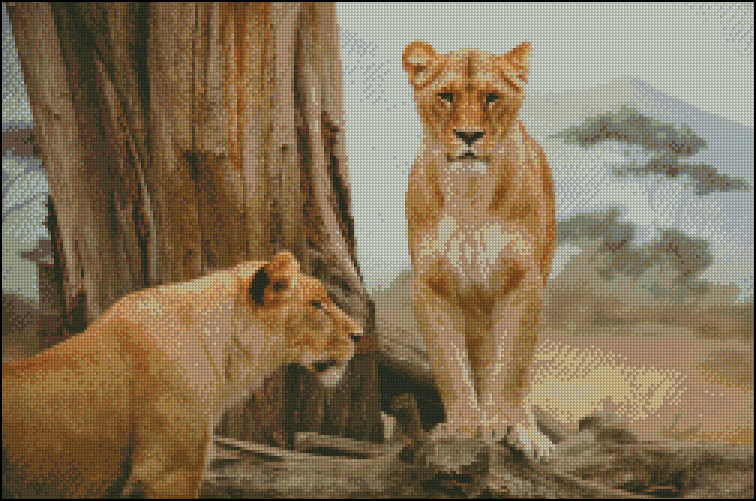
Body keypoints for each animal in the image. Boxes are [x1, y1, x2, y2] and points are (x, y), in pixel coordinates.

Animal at [403, 40, 556, 459]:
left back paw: (527, 432)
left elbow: (513, 366)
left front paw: (502, 424)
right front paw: (463, 427)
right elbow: (449, 363)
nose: (469, 135)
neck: (470, 197)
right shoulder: (431, 283)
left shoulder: (524, 280)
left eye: (492, 97)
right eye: (445, 96)